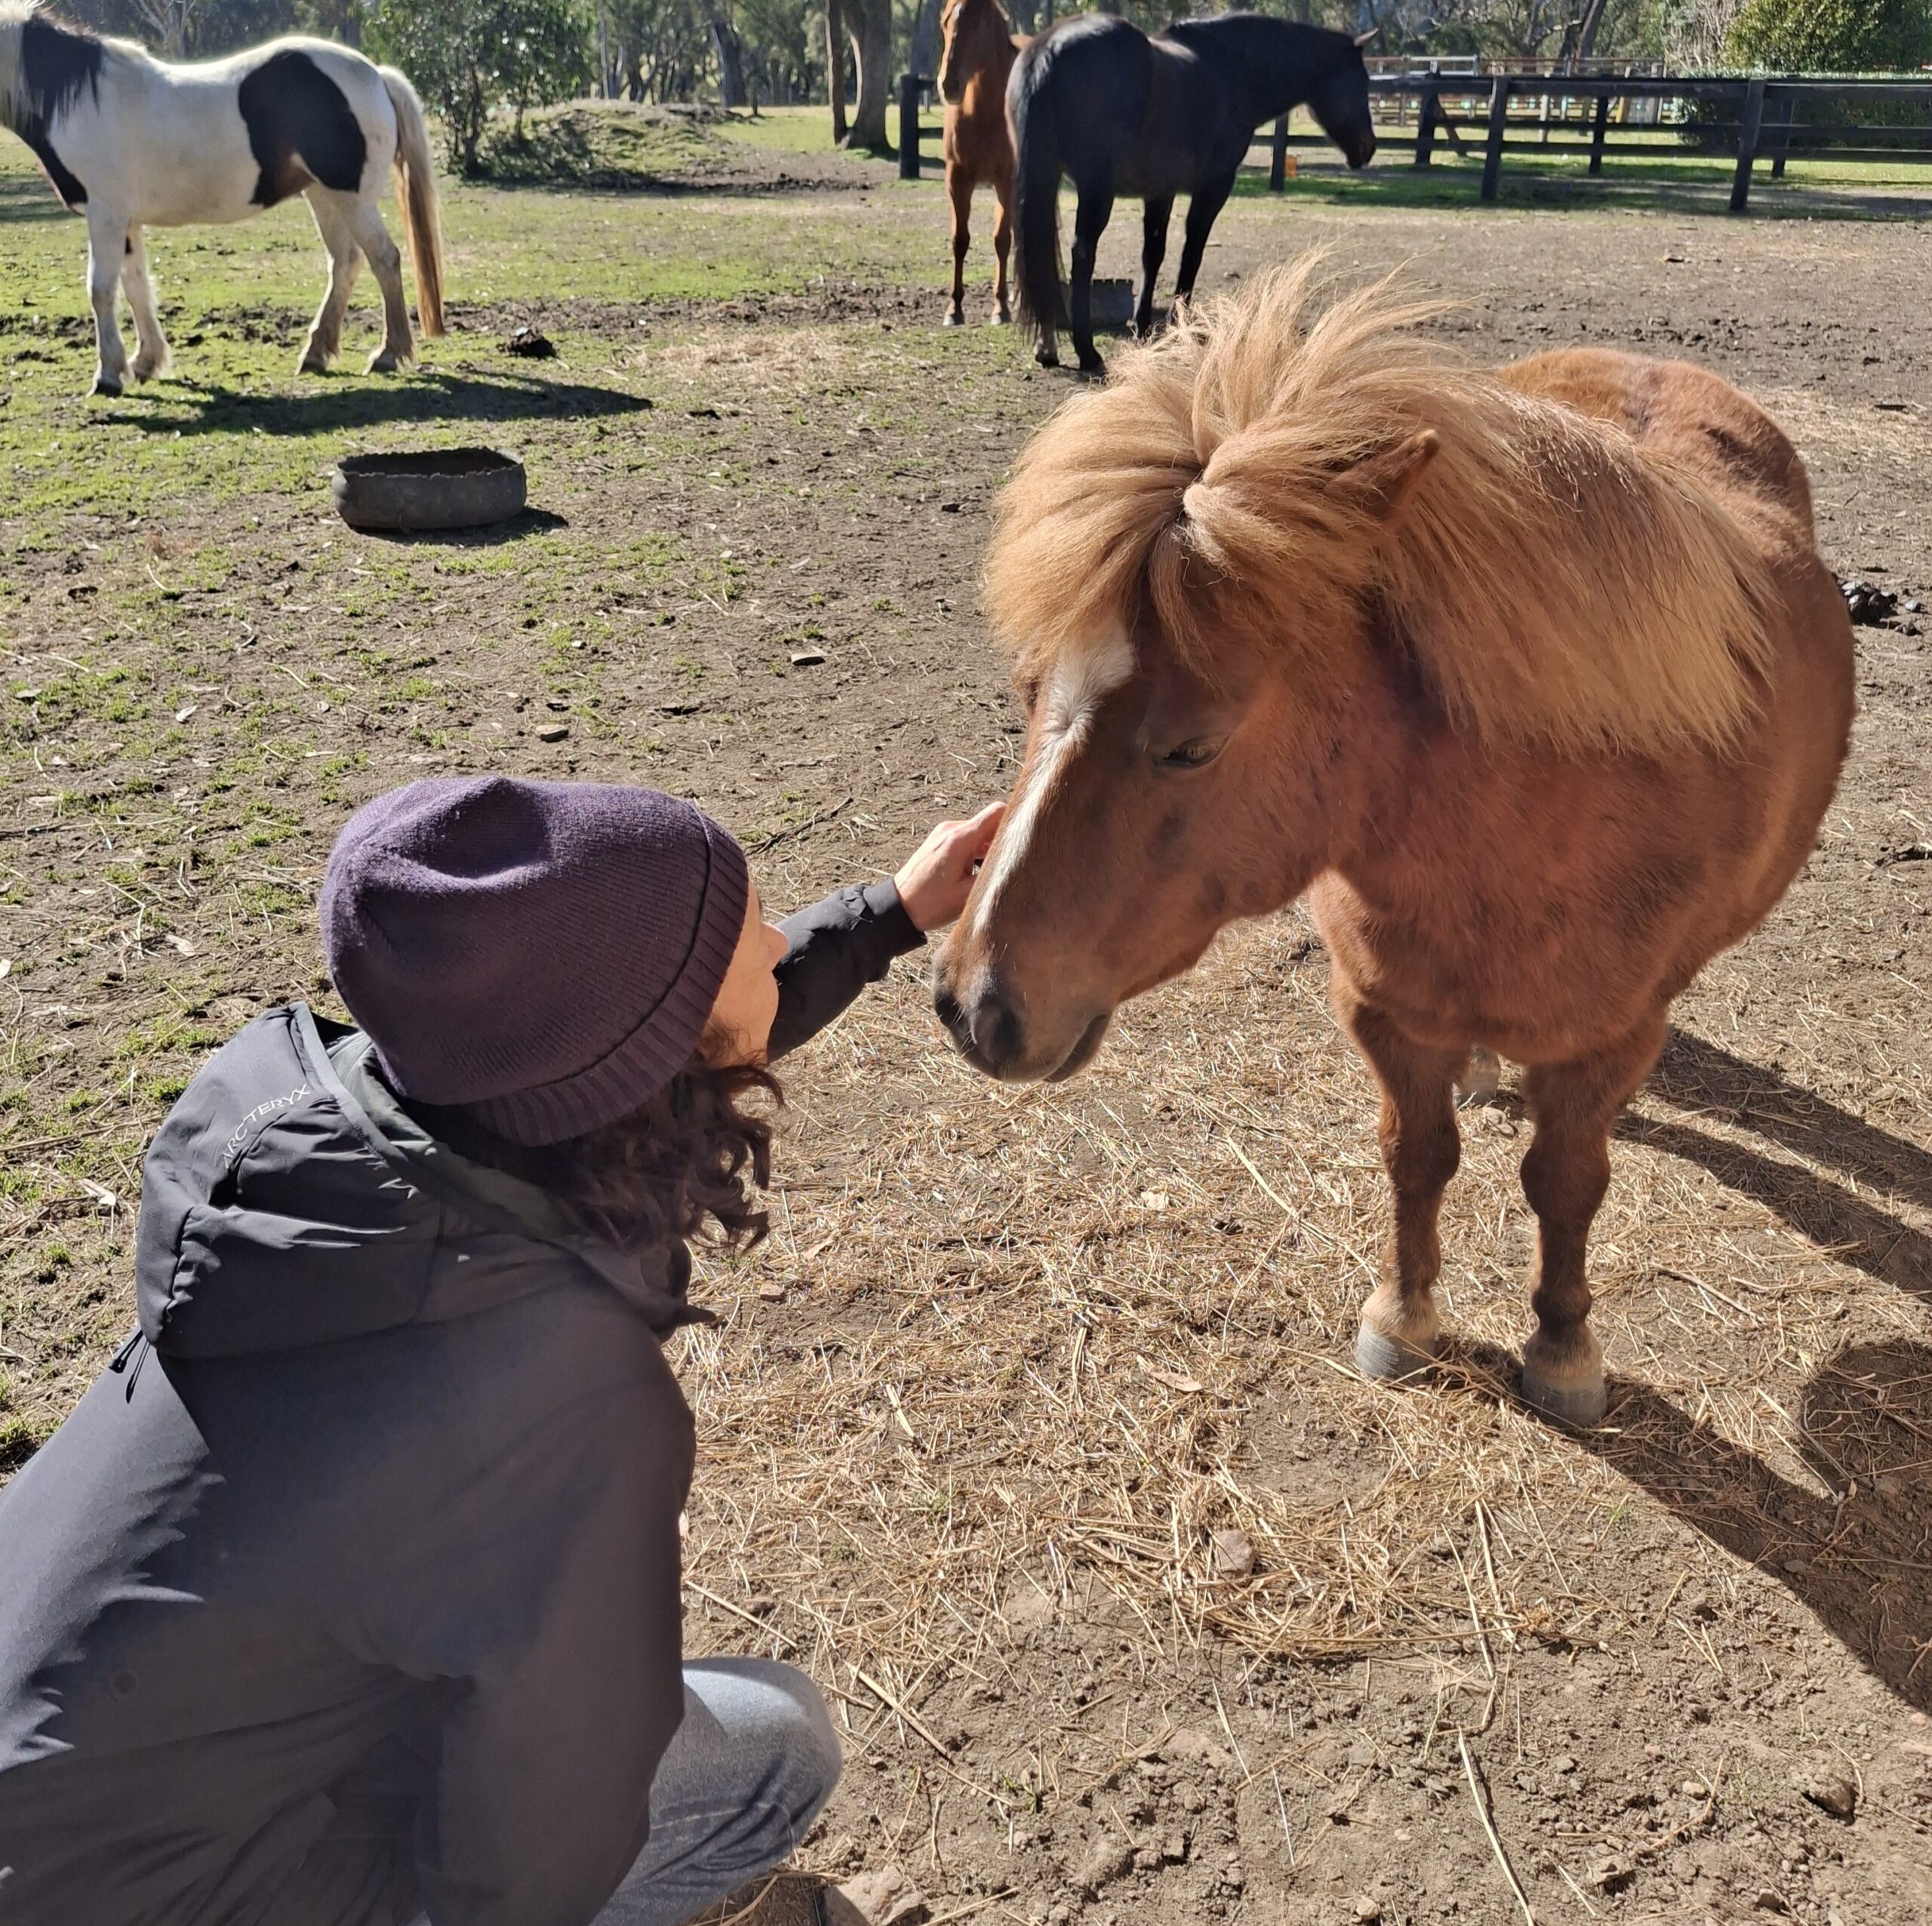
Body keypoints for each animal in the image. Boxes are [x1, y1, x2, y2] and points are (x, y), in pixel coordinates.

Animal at [0, 0, 444, 396]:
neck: (79, 100)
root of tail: (375, 75)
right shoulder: (126, 220)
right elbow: (136, 285)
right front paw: (146, 361)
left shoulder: (106, 214)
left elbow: (101, 289)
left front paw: (109, 374)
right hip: (322, 194)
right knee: (346, 262)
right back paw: (317, 353)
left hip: (352, 198)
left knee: (384, 259)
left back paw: (388, 354)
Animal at [932, 261, 1855, 1427]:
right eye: (1026, 691)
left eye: (1192, 747)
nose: (974, 1004)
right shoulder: (1380, 1006)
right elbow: (1415, 1157)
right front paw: (1404, 1317)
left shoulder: (1612, 1036)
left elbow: (1567, 1182)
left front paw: (1563, 1348)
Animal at [938, 0, 1021, 328]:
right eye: (945, 23)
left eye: (977, 24)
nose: (949, 84)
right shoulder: (958, 179)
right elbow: (959, 240)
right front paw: (954, 309)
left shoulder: (1007, 181)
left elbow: (1002, 240)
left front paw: (1000, 308)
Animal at [1006, 12, 1376, 376]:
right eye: (1363, 83)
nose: (1368, 148)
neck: (1234, 69)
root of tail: (1048, 49)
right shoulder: (1212, 190)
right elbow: (1191, 255)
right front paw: (1179, 327)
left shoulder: (1160, 193)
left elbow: (1152, 255)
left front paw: (1143, 328)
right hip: (1095, 190)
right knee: (1082, 254)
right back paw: (1087, 352)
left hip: (1045, 177)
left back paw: (1047, 345)